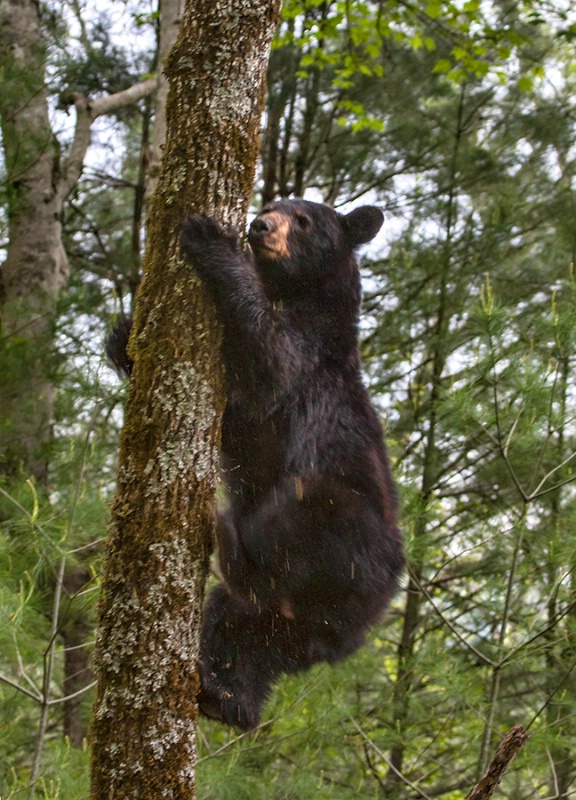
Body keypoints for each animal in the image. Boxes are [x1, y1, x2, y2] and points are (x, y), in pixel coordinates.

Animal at [109, 202, 404, 732]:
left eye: (303, 219)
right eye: (271, 207)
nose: (259, 226)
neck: (300, 295)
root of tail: (376, 605)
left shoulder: (305, 360)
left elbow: (266, 357)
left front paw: (208, 239)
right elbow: (228, 414)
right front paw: (124, 337)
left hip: (345, 530)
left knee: (293, 519)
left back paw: (231, 540)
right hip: (300, 623)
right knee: (247, 633)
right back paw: (226, 695)